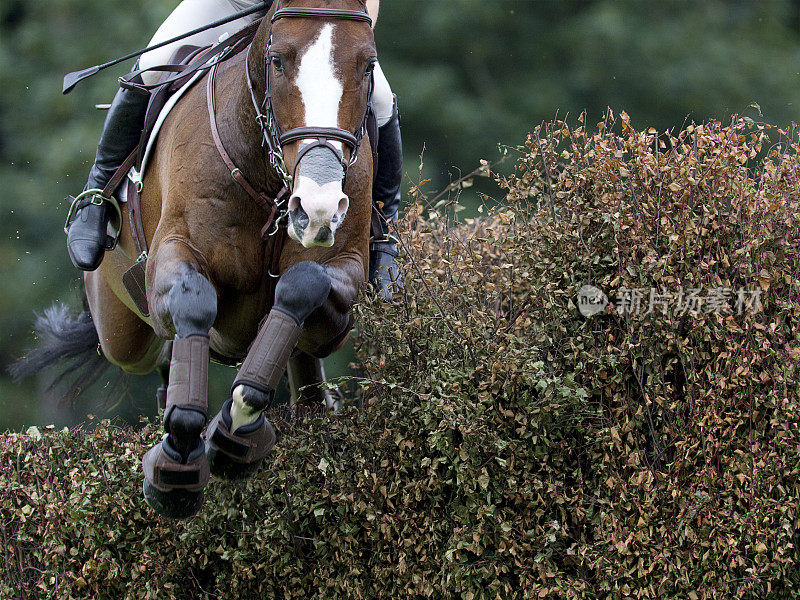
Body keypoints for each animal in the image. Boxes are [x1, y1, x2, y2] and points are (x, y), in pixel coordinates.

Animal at [25, 0, 378, 516]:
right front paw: (179, 459)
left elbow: (303, 286)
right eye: (277, 61)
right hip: (120, 333)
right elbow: (194, 301)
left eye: (367, 66)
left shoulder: (344, 272)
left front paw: (239, 424)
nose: (317, 209)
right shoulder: (173, 253)